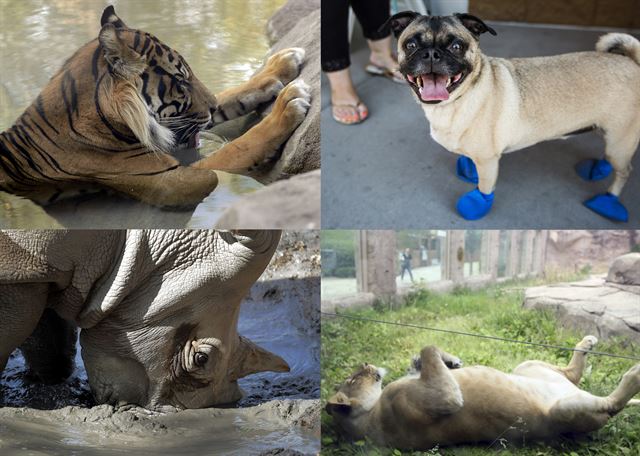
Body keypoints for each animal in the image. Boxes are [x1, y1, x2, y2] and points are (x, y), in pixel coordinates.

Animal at [0, 5, 310, 208]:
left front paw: (282, 63)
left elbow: (230, 95)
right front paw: (288, 104)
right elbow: (237, 148)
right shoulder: (172, 180)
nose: (210, 107)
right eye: (180, 81)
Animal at [328, 336, 640, 450]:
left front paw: (449, 361)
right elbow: (428, 348)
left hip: (529, 366)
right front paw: (444, 359)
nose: (365, 365)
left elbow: (425, 354)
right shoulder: (443, 399)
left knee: (571, 373)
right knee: (611, 403)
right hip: (564, 411)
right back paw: (634, 373)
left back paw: (587, 343)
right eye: (352, 378)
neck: (370, 414)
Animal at [388, 11, 640, 222]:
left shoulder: (488, 161)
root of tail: (631, 62)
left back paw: (608, 201)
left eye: (457, 46)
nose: (431, 54)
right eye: (411, 45)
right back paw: (596, 169)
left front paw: (476, 203)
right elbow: (469, 161)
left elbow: (485, 188)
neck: (456, 100)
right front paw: (469, 172)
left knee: (624, 171)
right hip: (611, 135)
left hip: (620, 141)